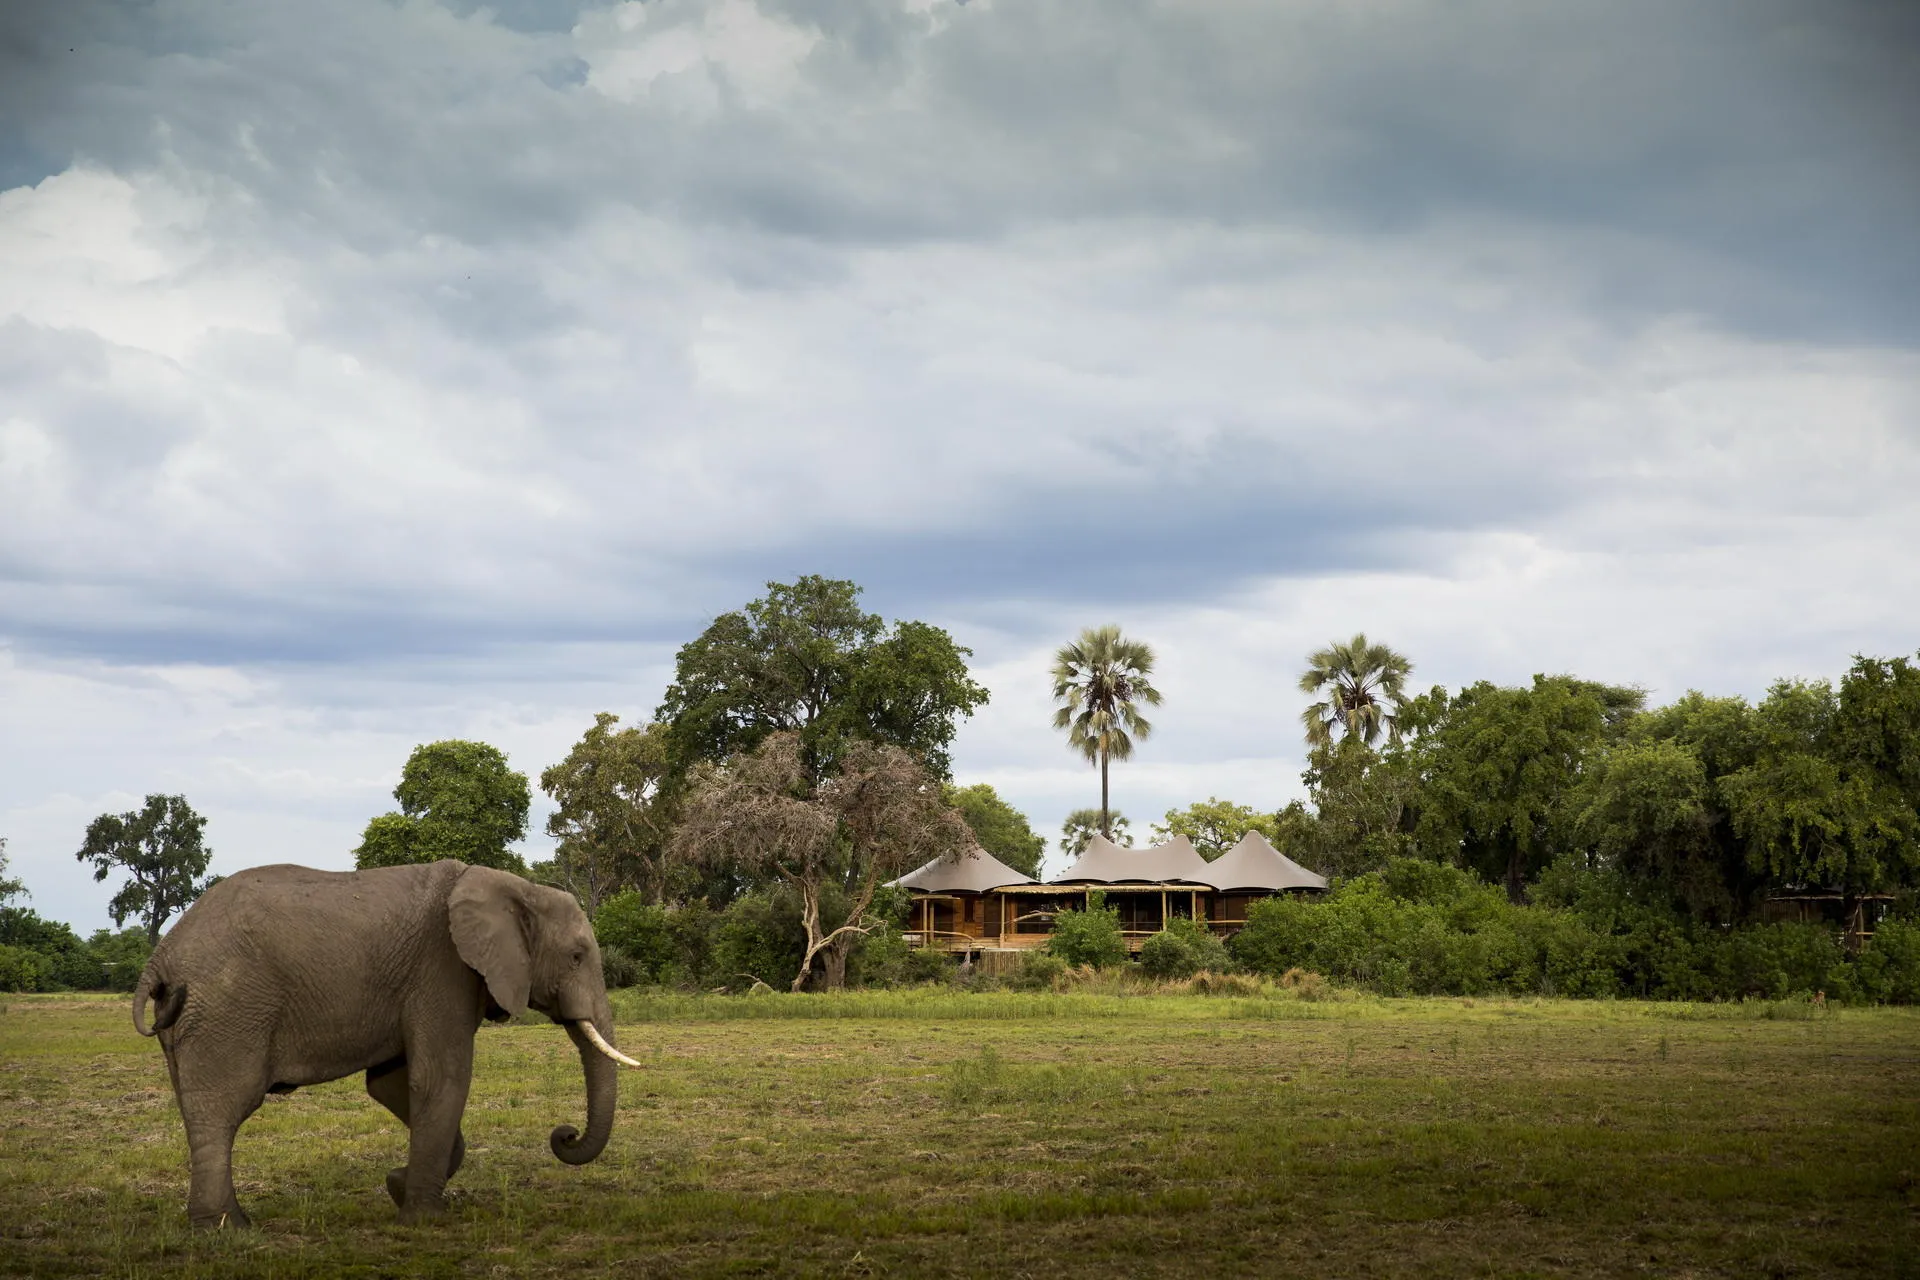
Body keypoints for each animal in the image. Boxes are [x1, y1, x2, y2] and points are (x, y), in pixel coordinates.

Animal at [131, 859, 641, 1227]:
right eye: (576, 957)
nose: (564, 1134)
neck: (516, 887)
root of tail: (160, 958)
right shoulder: (441, 969)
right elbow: (441, 1079)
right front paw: (426, 1220)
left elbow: (391, 1084)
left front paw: (397, 1186)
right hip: (229, 1007)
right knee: (223, 1107)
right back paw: (226, 1228)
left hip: (193, 1016)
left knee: (198, 1108)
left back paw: (218, 1223)